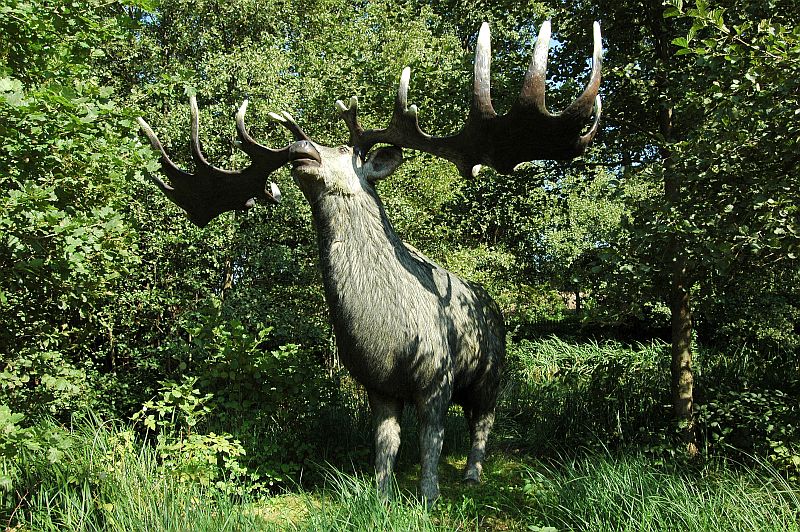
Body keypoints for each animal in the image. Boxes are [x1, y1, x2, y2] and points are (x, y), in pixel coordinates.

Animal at [137, 20, 602, 505]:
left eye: (346, 151)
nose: (298, 147)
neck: (386, 333)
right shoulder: (377, 386)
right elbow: (385, 441)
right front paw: (380, 495)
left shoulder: (436, 376)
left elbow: (431, 440)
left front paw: (428, 496)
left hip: (491, 371)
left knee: (484, 420)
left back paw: (473, 474)